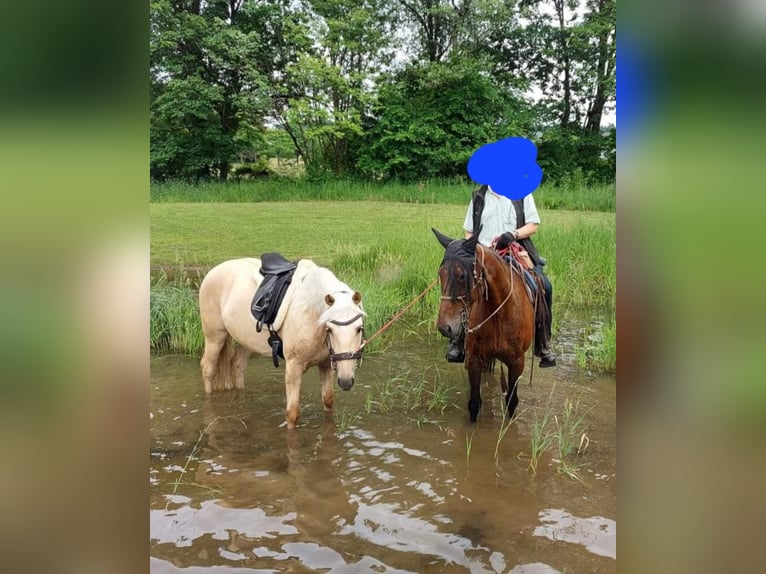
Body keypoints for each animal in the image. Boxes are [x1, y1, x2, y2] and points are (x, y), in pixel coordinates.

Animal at [198, 258, 366, 430]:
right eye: (330, 329)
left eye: (359, 328)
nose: (346, 382)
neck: (312, 313)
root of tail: (215, 271)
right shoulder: (294, 368)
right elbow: (292, 413)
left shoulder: (326, 366)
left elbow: (328, 401)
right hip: (215, 337)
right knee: (208, 368)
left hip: (245, 341)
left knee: (238, 366)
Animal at [432, 230, 536, 424]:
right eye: (441, 274)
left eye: (461, 276)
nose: (444, 327)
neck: (500, 312)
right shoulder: (474, 359)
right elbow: (474, 404)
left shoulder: (517, 362)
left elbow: (512, 402)